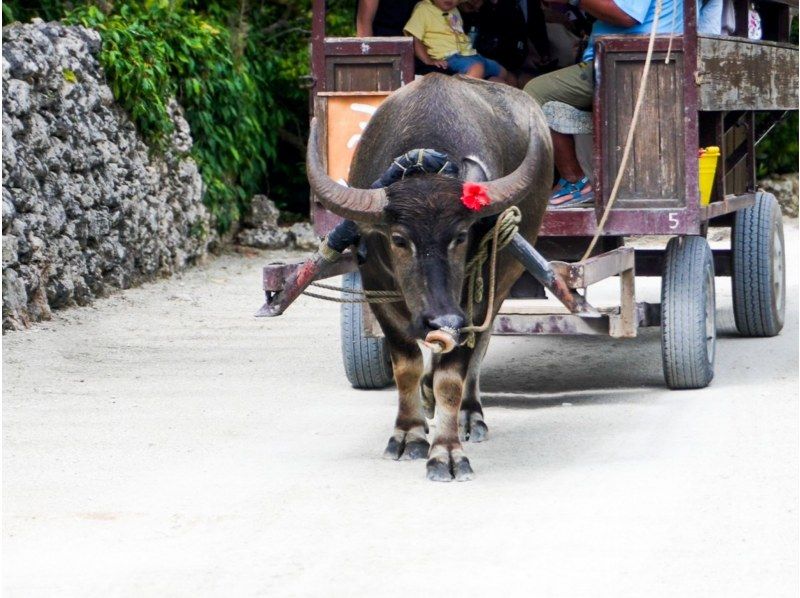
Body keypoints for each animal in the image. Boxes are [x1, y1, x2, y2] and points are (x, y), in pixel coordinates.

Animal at [304, 74, 552, 482]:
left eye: (461, 236)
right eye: (399, 239)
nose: (443, 319)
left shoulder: (472, 299)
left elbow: (453, 373)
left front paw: (446, 453)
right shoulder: (375, 285)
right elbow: (406, 364)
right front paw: (408, 435)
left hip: (505, 274)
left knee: (480, 343)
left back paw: (469, 414)